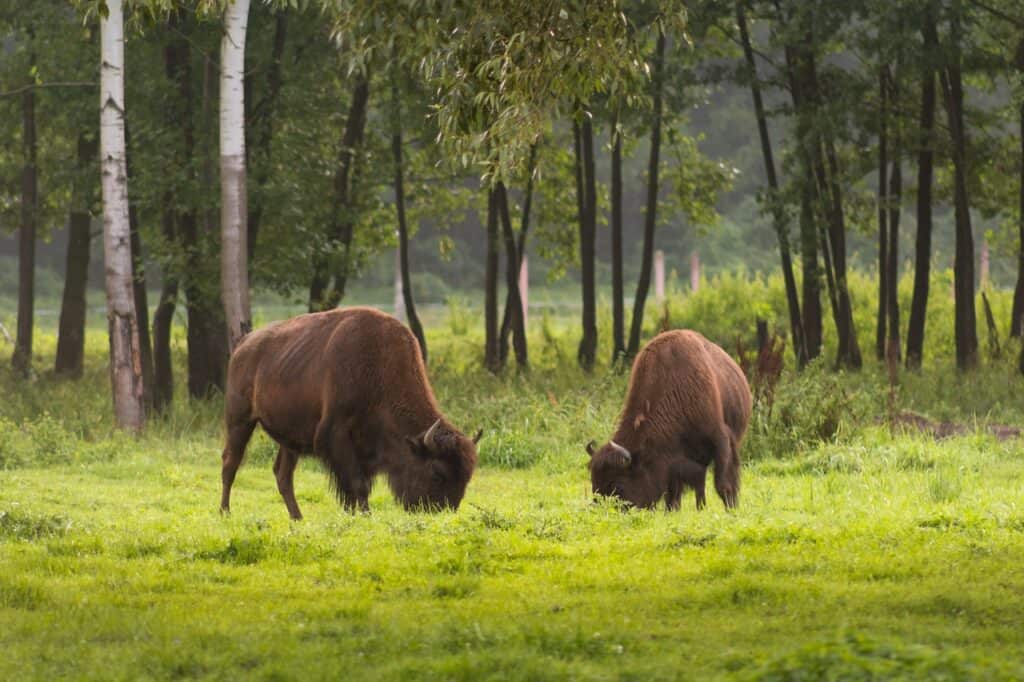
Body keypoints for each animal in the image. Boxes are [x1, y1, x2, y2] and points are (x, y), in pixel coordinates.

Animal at [219, 307, 480, 518]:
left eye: (467, 477)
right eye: (437, 473)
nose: (443, 512)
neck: (379, 367)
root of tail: (243, 345)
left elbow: (355, 487)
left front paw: (351, 515)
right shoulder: (338, 437)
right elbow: (357, 484)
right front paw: (365, 515)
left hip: (290, 438)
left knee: (282, 474)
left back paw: (298, 518)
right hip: (240, 420)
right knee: (230, 463)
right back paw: (225, 512)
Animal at [588, 330, 751, 510]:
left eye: (619, 484)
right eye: (593, 482)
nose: (601, 509)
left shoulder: (721, 439)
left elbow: (723, 483)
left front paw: (732, 508)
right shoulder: (673, 461)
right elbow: (673, 492)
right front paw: (672, 511)